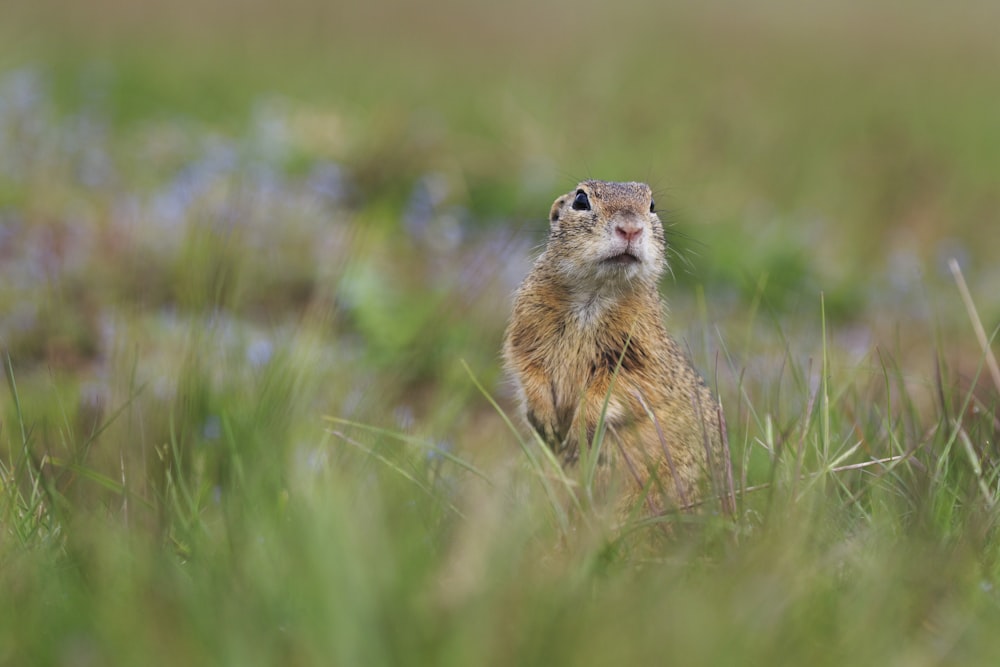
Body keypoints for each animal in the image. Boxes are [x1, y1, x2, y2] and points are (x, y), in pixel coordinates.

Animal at [504, 179, 724, 516]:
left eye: (652, 205)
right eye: (580, 201)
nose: (630, 229)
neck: (596, 293)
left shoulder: (642, 351)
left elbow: (623, 386)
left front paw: (578, 432)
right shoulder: (526, 327)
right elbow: (527, 366)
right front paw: (547, 423)